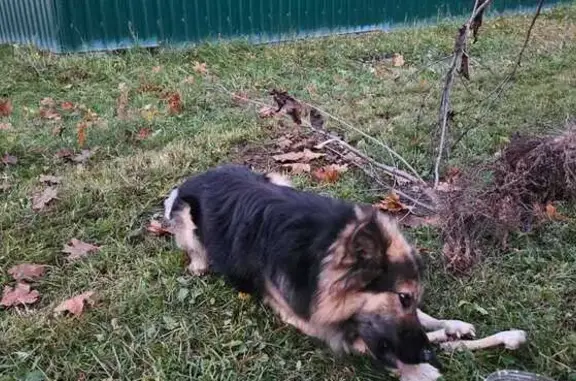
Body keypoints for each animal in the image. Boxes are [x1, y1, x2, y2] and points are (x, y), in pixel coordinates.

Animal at [163, 164, 528, 380]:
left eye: (411, 299)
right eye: (402, 298)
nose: (426, 353)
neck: (318, 255)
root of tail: (201, 174)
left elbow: (423, 322)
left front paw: (451, 328)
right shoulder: (307, 318)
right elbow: (368, 344)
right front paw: (422, 364)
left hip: (275, 176)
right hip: (182, 215)